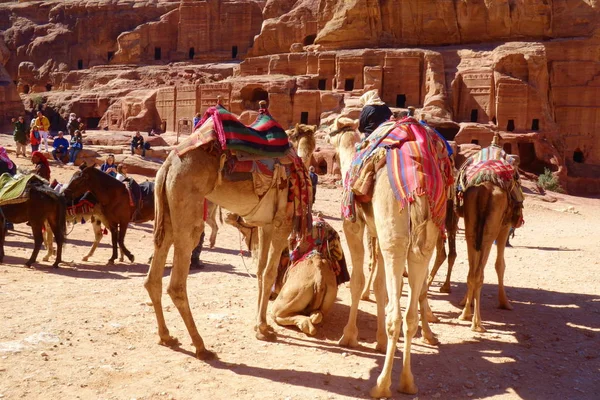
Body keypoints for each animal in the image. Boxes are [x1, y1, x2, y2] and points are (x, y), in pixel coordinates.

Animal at [142, 105, 310, 356]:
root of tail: (167, 166)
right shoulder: (283, 222)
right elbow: (269, 273)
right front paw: (264, 328)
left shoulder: (265, 224)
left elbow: (260, 271)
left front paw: (260, 326)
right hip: (188, 210)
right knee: (177, 283)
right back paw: (200, 345)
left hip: (167, 214)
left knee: (153, 277)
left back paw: (166, 337)